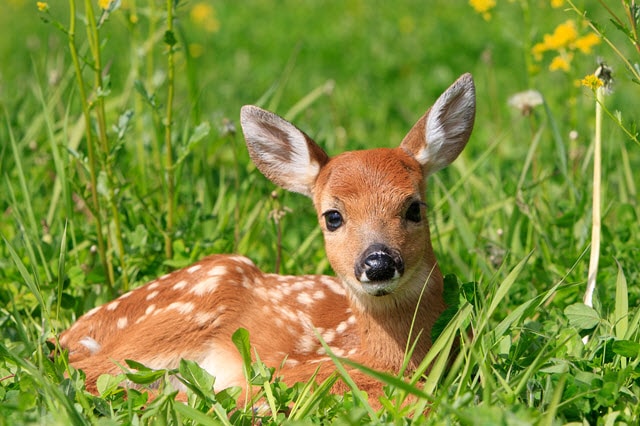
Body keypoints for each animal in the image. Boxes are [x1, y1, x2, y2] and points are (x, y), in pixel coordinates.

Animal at [58, 72, 476, 402]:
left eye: (414, 208)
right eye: (333, 217)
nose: (378, 263)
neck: (383, 359)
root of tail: (73, 333)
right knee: (85, 372)